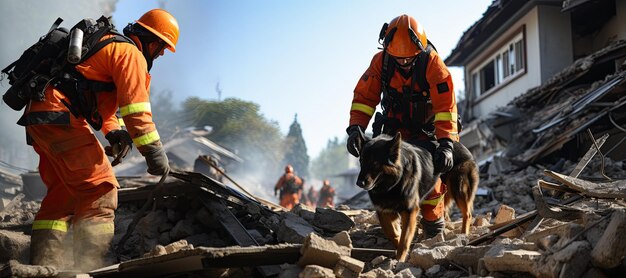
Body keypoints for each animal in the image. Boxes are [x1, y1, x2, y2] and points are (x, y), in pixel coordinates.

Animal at [356, 131, 478, 262]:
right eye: (361, 161)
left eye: (374, 162)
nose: (359, 183)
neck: (393, 185)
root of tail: (460, 144)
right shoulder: (384, 211)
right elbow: (392, 233)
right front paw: (398, 246)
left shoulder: (410, 211)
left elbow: (404, 240)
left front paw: (400, 259)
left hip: (458, 188)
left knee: (467, 214)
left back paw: (463, 234)